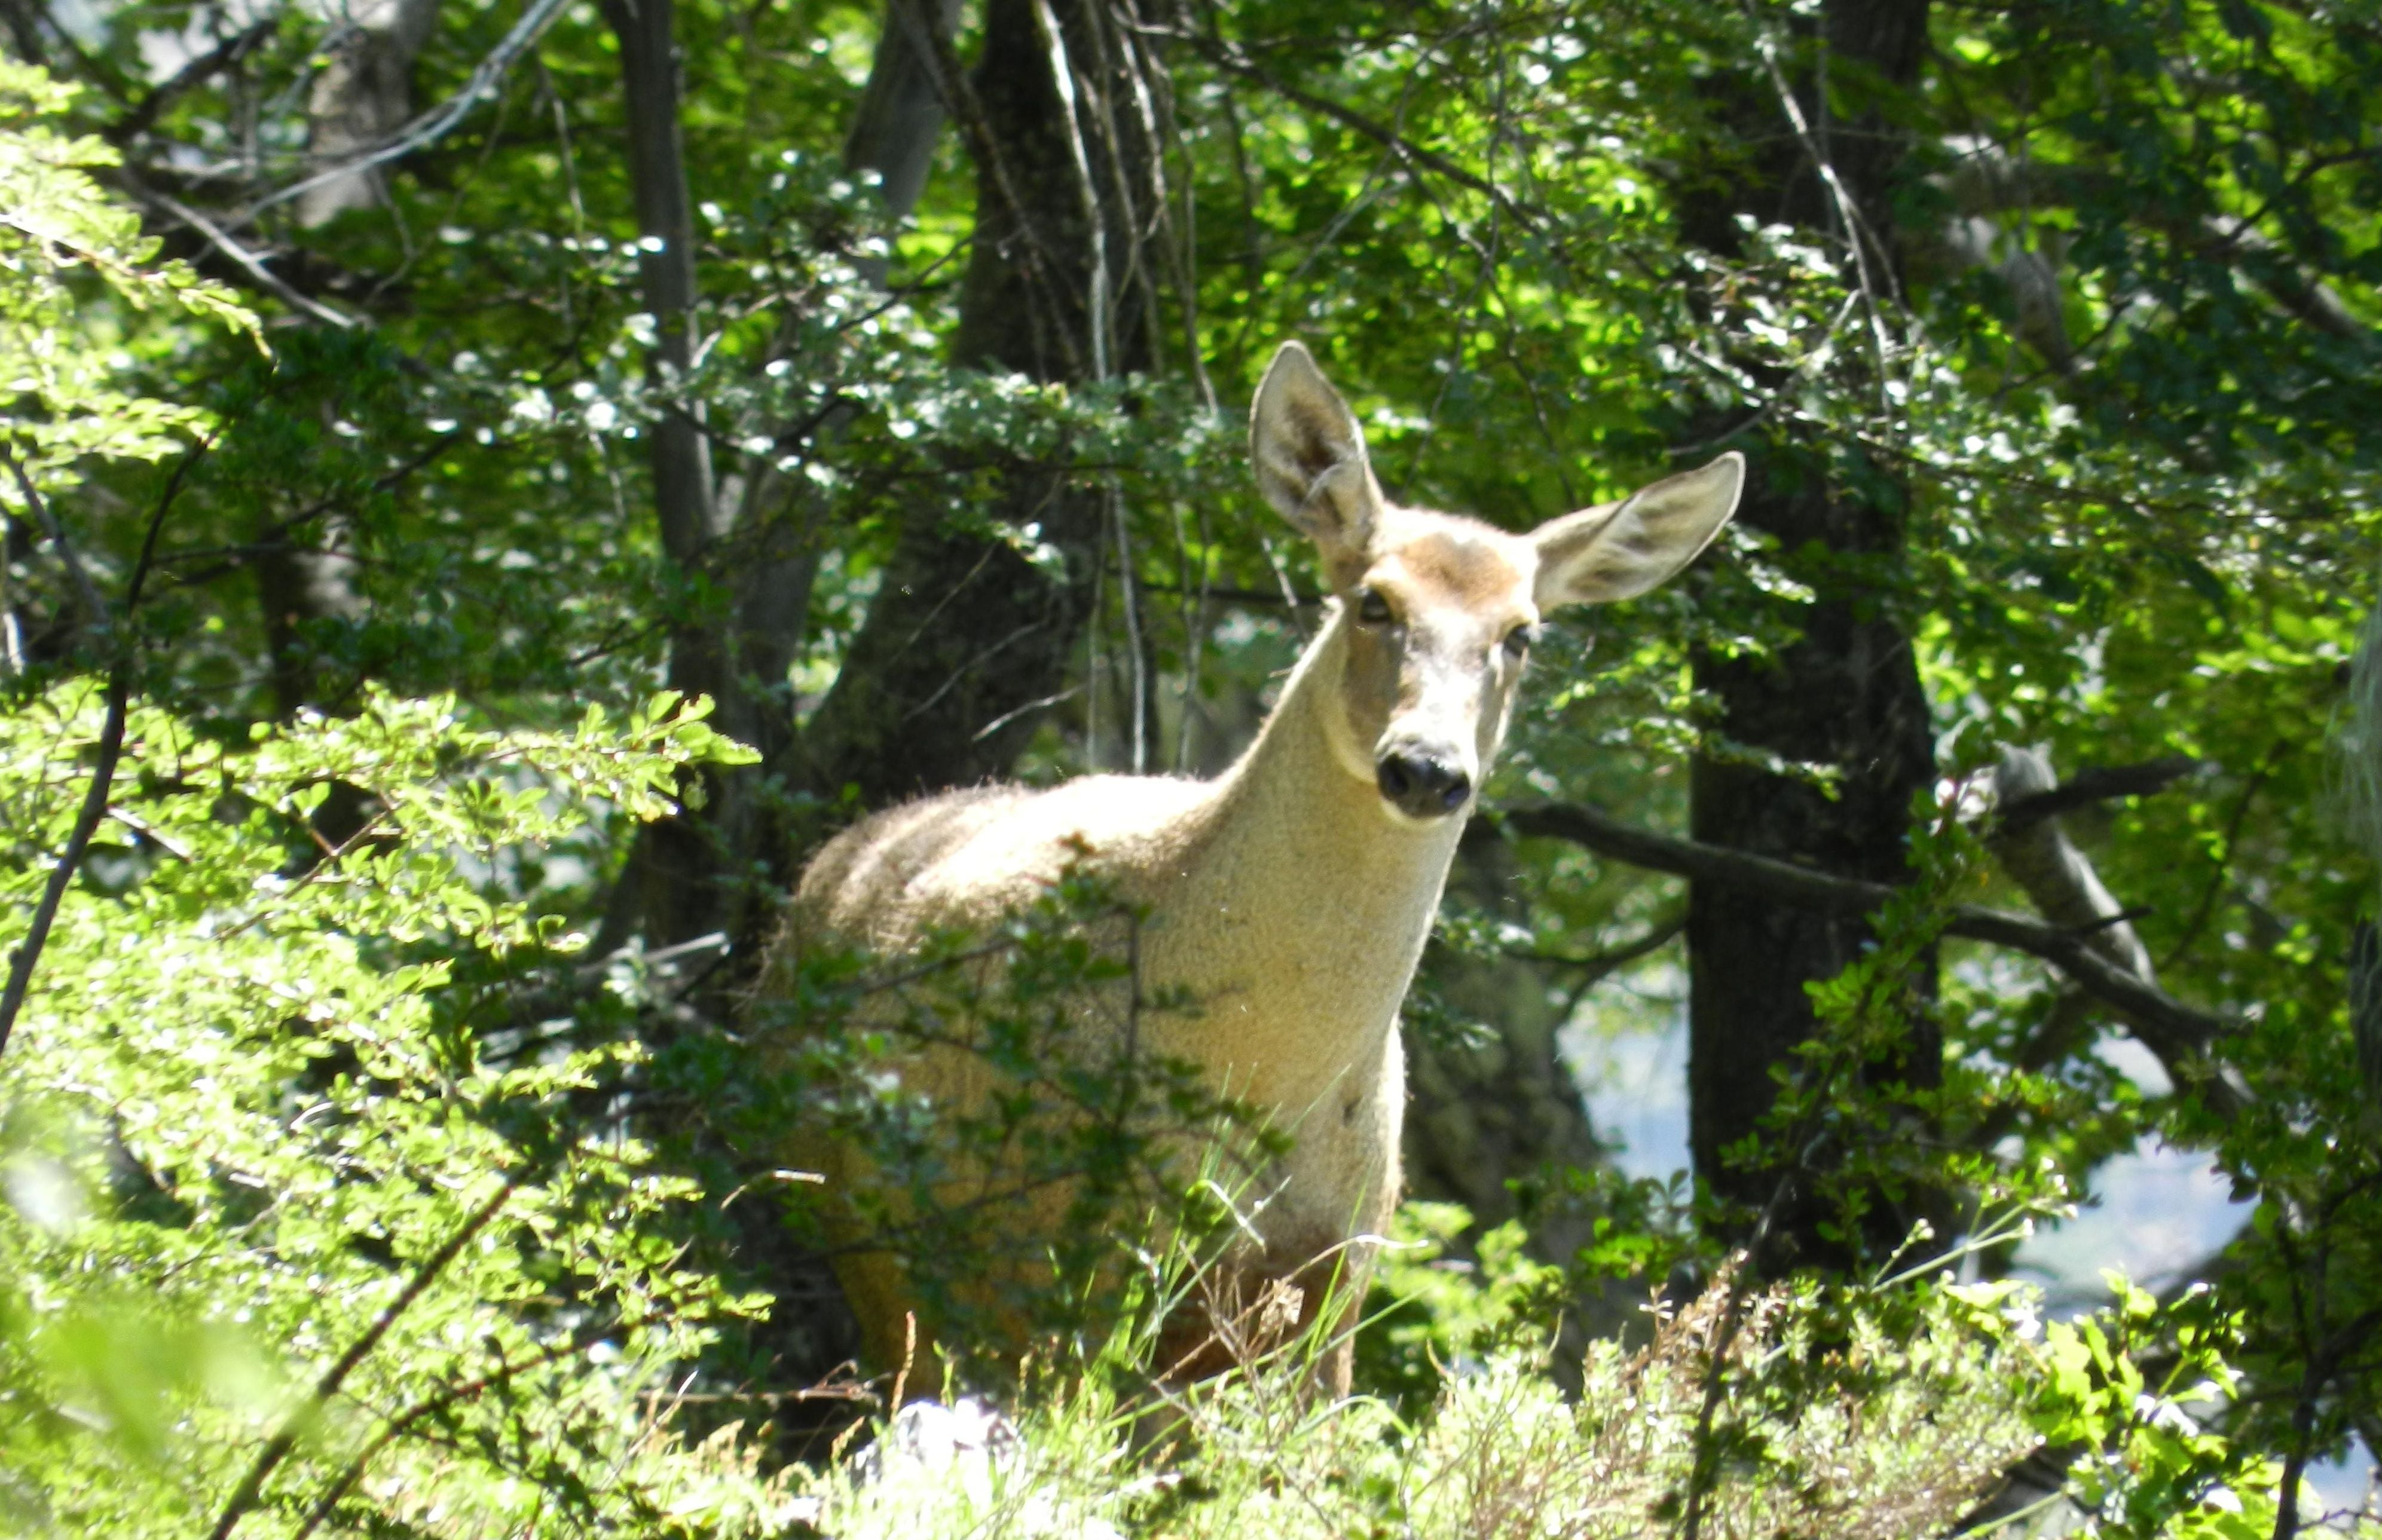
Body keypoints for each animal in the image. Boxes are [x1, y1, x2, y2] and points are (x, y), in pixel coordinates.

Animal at [762, 340, 1753, 1400]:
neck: (1272, 1077)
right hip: (861, 1222)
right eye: (1373, 601)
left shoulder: (1339, 1265)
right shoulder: (1089, 1253)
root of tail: (824, 872)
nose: (1427, 768)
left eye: (1522, 633)